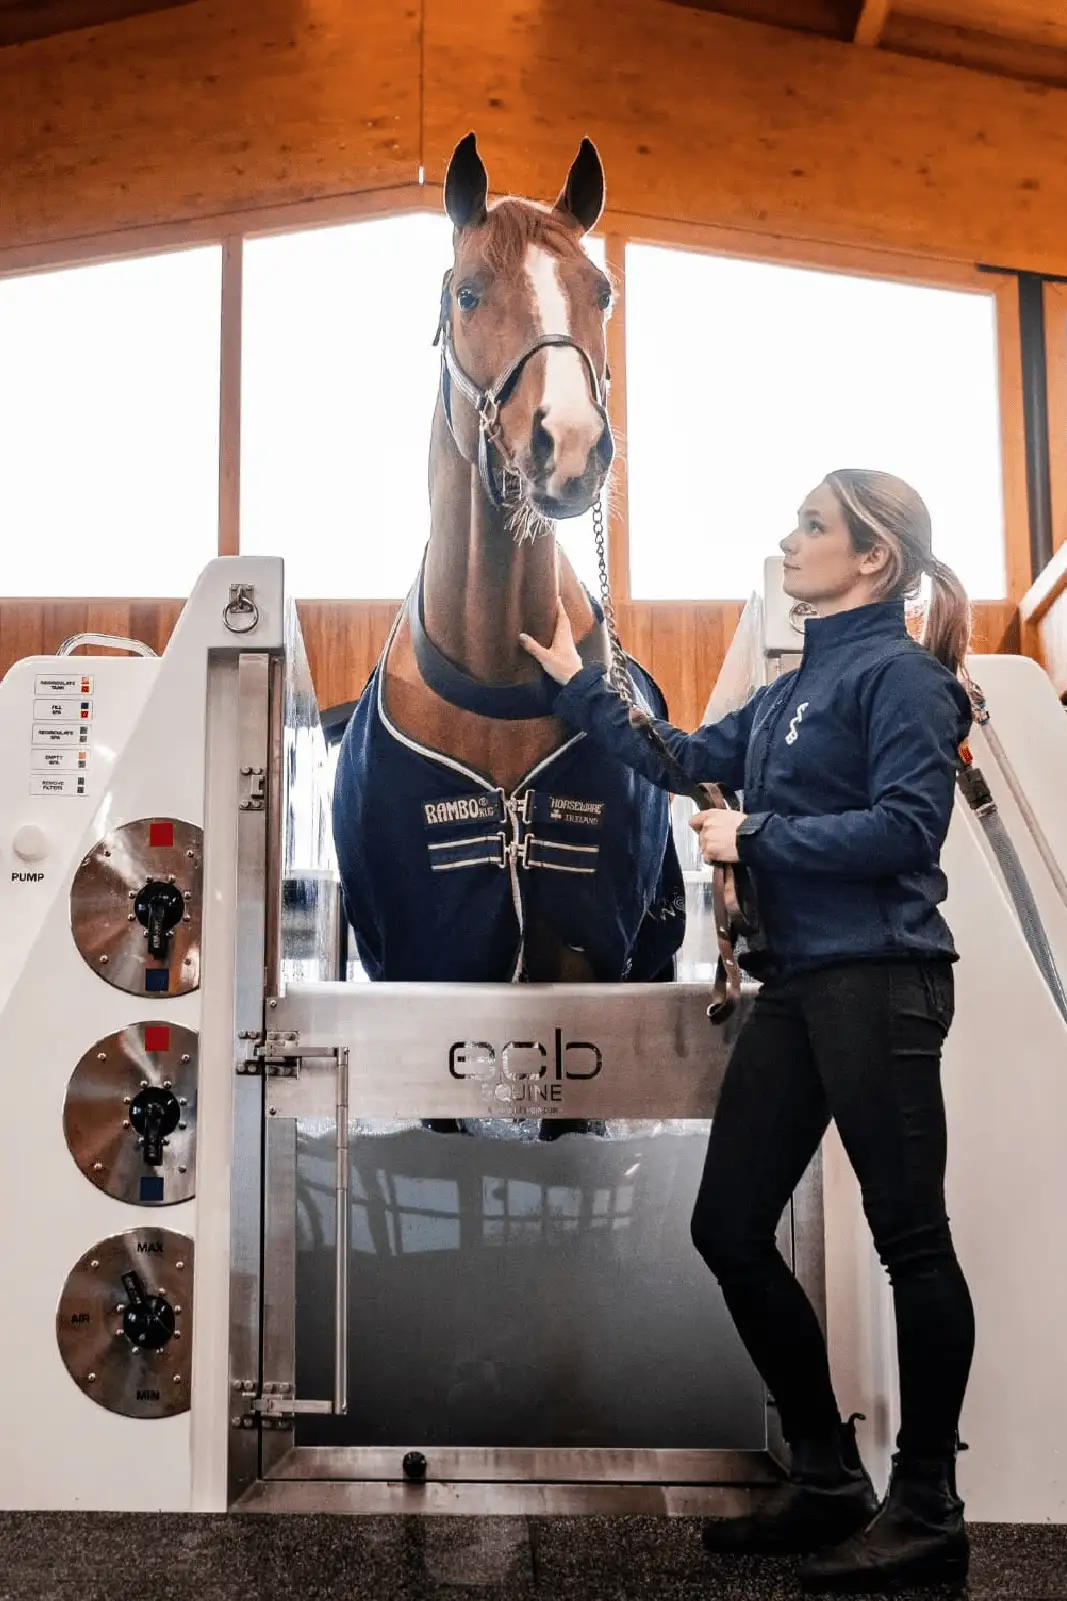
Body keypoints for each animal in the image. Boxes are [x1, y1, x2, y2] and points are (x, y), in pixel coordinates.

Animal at [328, 134, 685, 1011]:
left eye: (602, 293)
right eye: (467, 294)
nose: (572, 442)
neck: (493, 668)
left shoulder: (591, 959)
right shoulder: (425, 952)